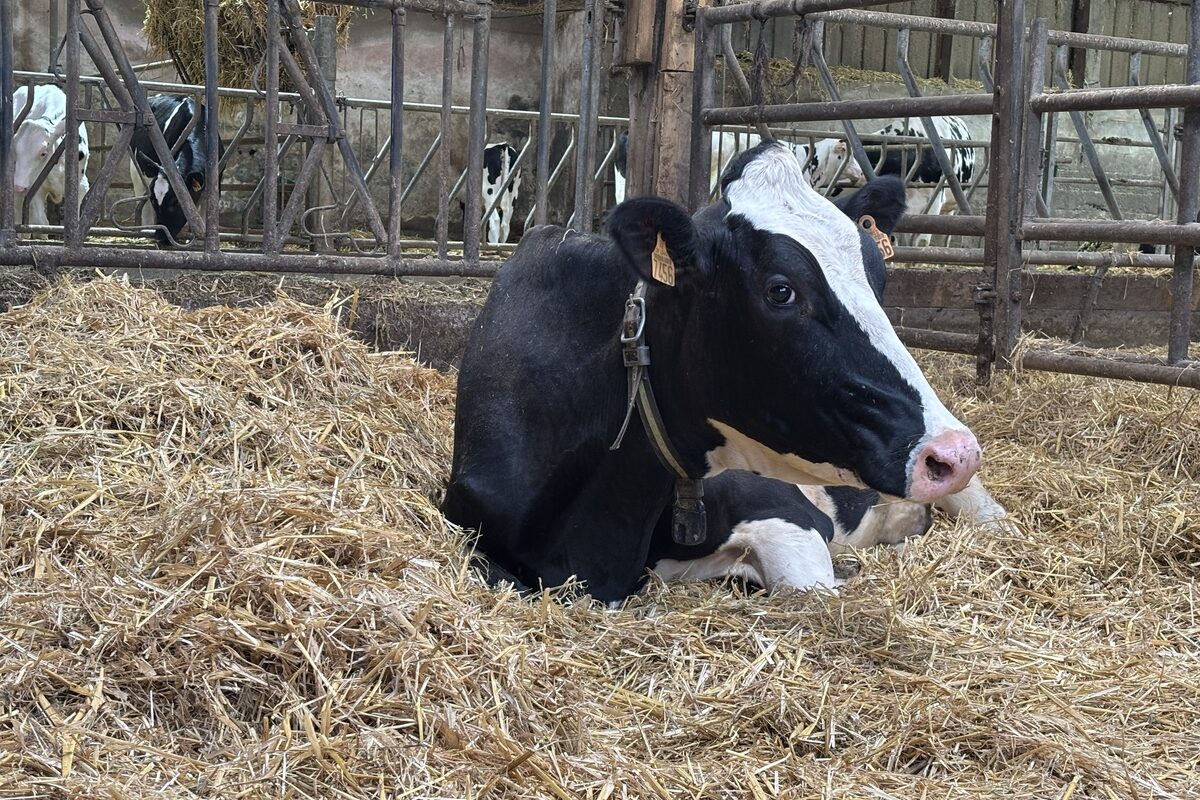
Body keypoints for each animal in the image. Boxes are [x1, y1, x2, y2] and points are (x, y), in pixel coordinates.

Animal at [11, 84, 90, 233]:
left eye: (43, 153)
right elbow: (41, 223)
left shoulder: (82, 185)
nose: (18, 186)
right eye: (15, 150)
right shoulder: (34, 187)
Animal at [128, 94, 219, 248]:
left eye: (176, 202)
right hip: (136, 170)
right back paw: (144, 232)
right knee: (142, 202)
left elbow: (206, 210)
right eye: (154, 201)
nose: (160, 237)